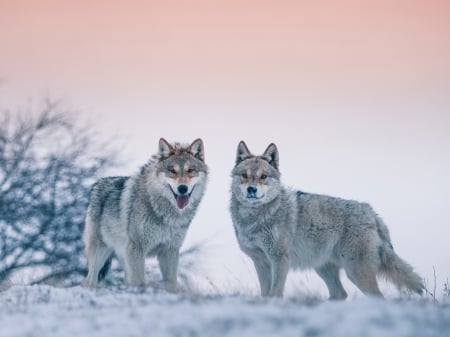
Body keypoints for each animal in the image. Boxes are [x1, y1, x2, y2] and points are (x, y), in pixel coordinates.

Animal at [83, 138, 208, 290]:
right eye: (172, 171)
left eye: (191, 170)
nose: (182, 188)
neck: (165, 213)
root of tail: (97, 184)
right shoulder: (137, 248)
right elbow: (139, 282)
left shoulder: (170, 250)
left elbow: (171, 283)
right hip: (100, 253)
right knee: (89, 281)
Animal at [230, 140, 424, 298]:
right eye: (244, 175)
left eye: (263, 176)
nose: (252, 189)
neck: (254, 218)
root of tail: (371, 212)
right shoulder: (261, 262)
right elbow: (265, 293)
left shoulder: (280, 260)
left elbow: (275, 292)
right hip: (325, 269)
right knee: (341, 294)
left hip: (355, 272)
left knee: (376, 296)